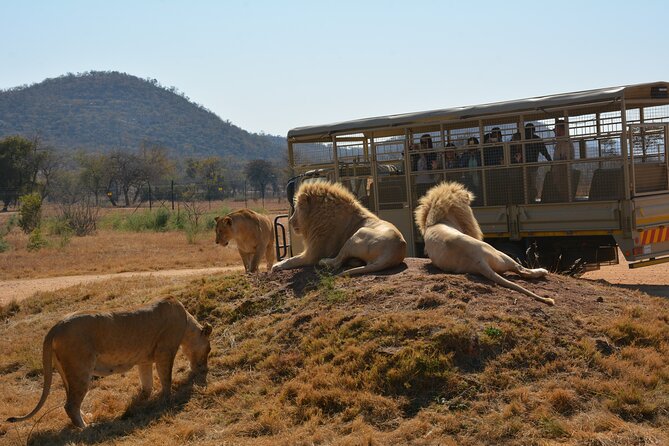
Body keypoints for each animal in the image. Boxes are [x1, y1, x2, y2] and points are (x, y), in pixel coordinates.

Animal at [6, 297, 212, 428]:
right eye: (209, 350)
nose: (205, 370)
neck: (186, 323)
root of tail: (56, 325)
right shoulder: (165, 351)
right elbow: (166, 378)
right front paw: (167, 399)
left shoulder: (144, 359)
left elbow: (147, 382)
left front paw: (143, 399)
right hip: (80, 369)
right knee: (70, 405)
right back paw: (87, 427)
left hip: (66, 371)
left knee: (71, 401)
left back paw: (85, 418)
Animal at [271, 181, 406, 275]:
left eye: (297, 209)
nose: (290, 221)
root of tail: (391, 254)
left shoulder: (314, 253)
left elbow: (292, 259)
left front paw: (277, 265)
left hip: (357, 235)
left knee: (336, 262)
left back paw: (325, 261)